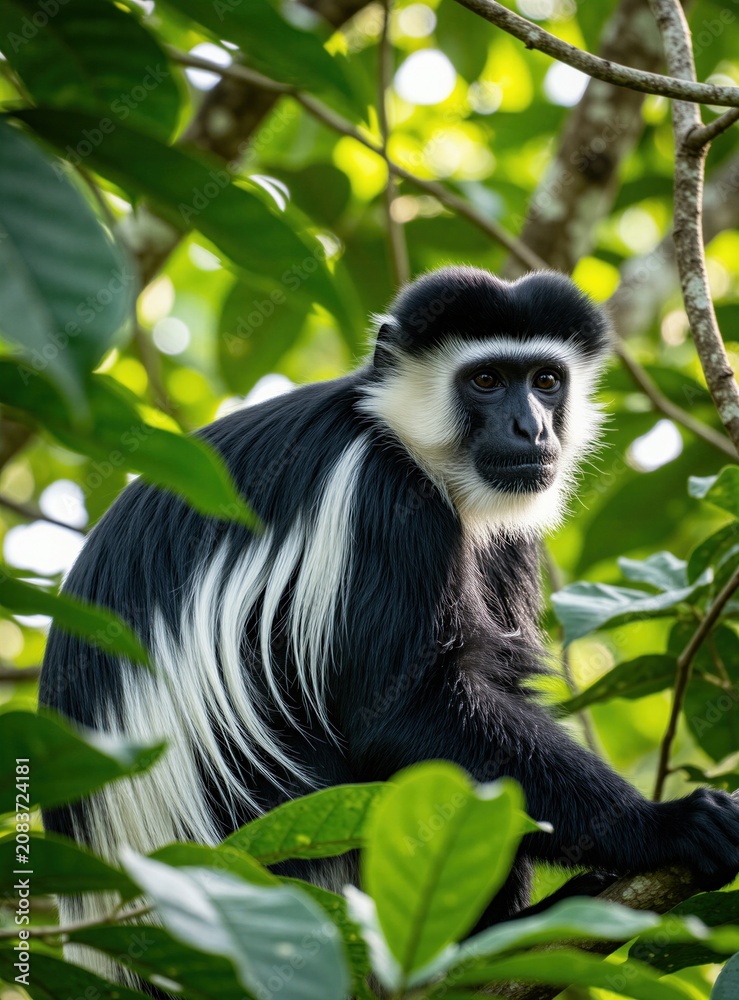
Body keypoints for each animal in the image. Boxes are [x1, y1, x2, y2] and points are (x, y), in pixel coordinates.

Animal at [40, 265, 739, 979]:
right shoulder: (382, 499)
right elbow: (403, 713)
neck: (400, 435)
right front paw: (666, 826)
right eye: (487, 380)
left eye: (546, 380)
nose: (531, 428)